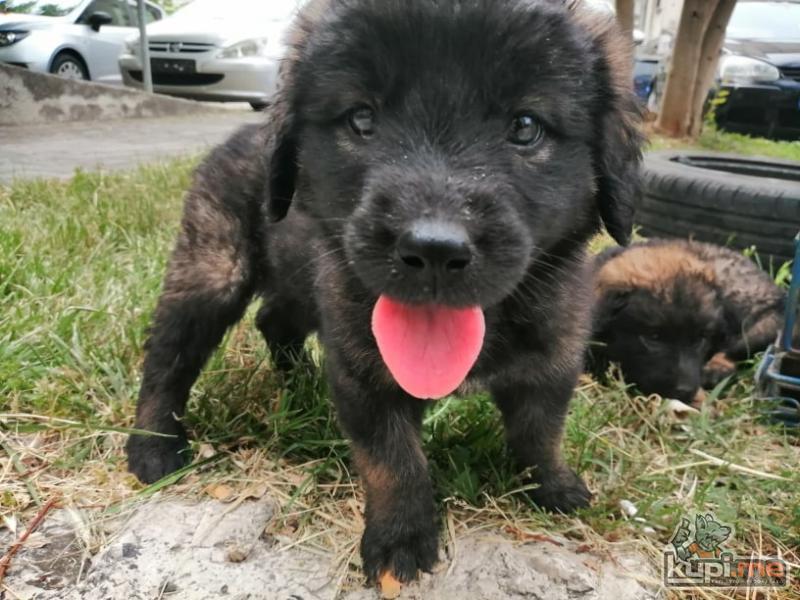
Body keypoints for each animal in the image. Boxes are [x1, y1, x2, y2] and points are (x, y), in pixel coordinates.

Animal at [126, 0, 643, 583]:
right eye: (361, 118)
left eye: (527, 126)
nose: (435, 249)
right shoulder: (366, 371)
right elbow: (394, 461)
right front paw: (401, 541)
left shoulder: (552, 357)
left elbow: (540, 430)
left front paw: (553, 485)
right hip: (213, 271)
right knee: (169, 359)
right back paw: (153, 448)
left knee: (273, 320)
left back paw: (299, 380)